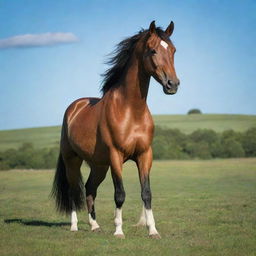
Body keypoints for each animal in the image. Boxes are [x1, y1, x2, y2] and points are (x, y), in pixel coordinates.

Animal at [51, 21, 180, 239]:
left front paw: (153, 230)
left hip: (99, 165)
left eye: (173, 50)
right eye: (153, 50)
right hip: (72, 161)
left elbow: (147, 193)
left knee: (90, 189)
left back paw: (94, 226)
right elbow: (119, 194)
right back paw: (74, 226)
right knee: (73, 191)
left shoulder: (144, 155)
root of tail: (74, 108)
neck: (131, 111)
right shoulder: (116, 156)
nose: (173, 84)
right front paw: (119, 231)